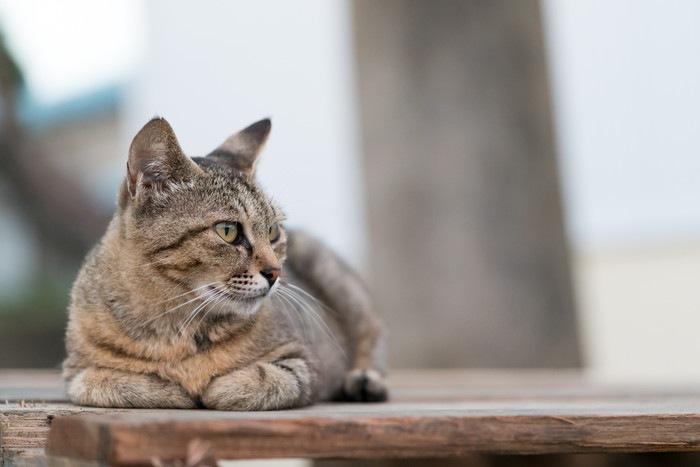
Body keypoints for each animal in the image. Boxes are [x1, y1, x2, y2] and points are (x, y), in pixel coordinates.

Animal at [61, 118, 388, 410]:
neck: (176, 326)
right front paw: (174, 388)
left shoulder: (306, 361)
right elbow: (105, 382)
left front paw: (216, 387)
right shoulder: (75, 370)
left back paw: (363, 380)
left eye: (273, 231)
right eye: (228, 230)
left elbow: (270, 380)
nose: (276, 272)